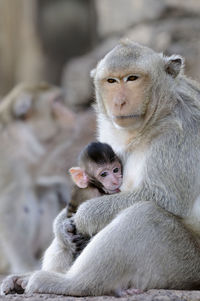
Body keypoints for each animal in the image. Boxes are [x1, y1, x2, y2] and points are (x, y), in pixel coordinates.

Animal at [1, 40, 200, 296]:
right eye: (111, 81)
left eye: (132, 78)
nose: (119, 102)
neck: (153, 119)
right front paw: (61, 225)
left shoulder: (181, 132)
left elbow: (165, 197)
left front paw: (84, 215)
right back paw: (28, 277)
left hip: (181, 264)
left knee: (144, 215)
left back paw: (69, 283)